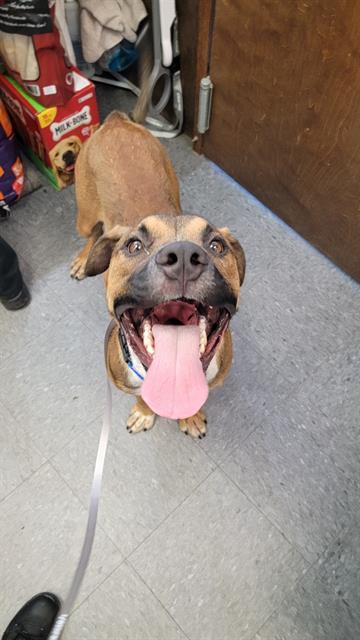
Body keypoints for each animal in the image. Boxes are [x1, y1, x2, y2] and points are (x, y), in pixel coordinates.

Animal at [70, 112, 245, 438]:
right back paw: (83, 259)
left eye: (216, 245)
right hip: (84, 216)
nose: (184, 257)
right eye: (134, 245)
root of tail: (116, 121)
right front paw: (144, 411)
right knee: (94, 233)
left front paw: (190, 416)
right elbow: (142, 395)